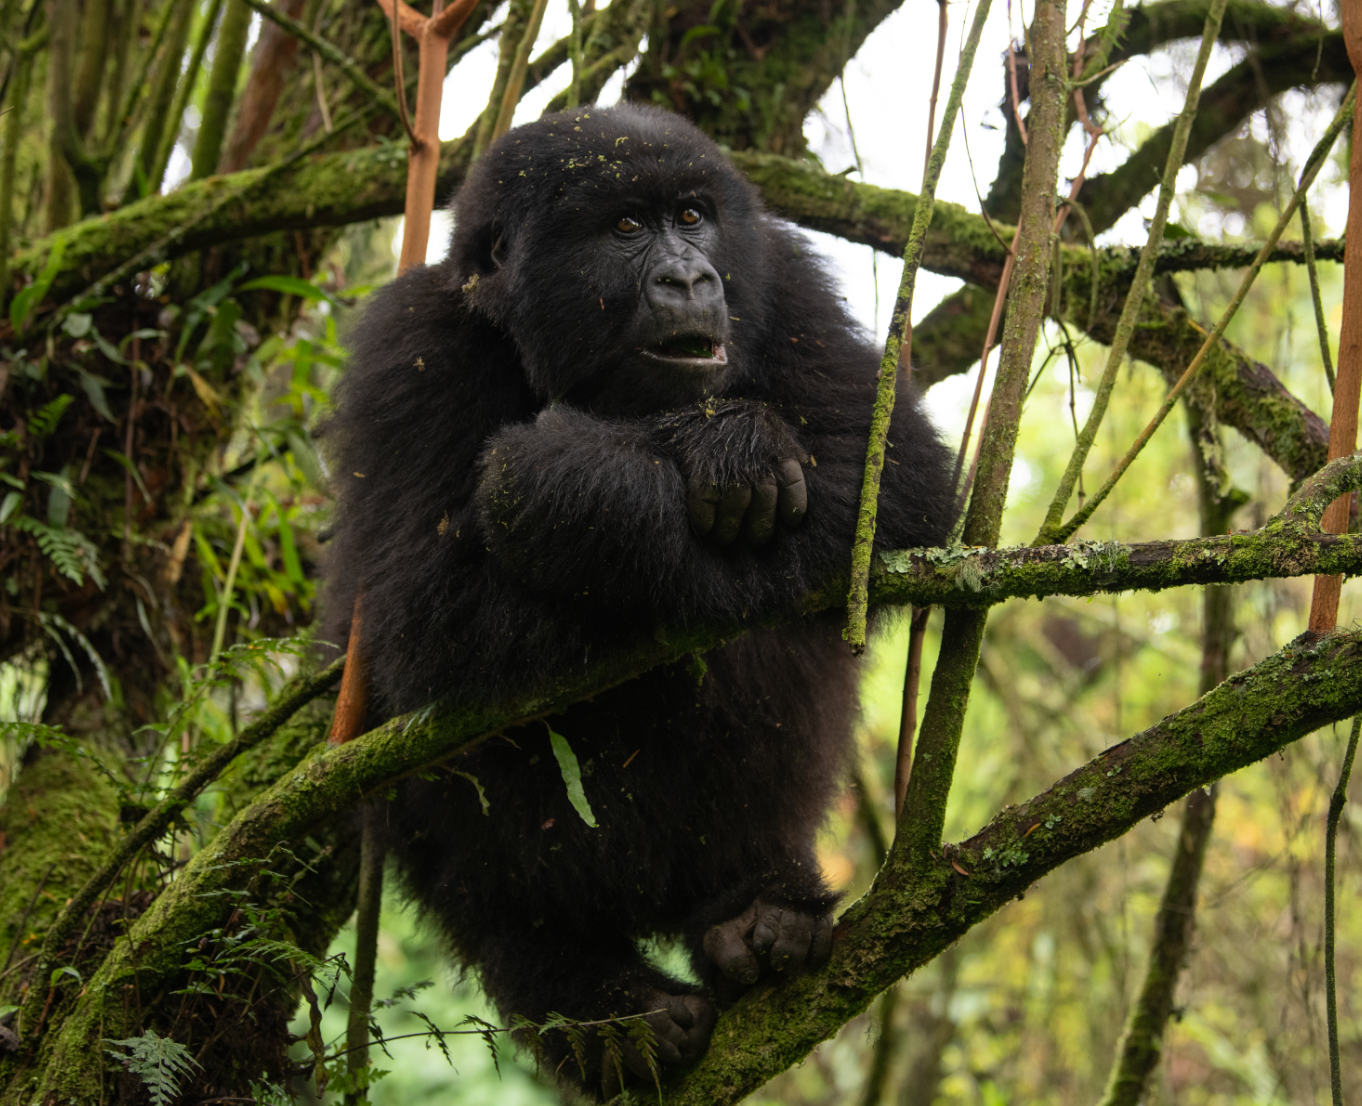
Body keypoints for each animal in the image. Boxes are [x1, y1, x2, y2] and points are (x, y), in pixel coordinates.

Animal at [322, 101, 953, 1089]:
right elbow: (420, 618)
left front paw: (710, 445)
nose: (690, 277)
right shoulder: (409, 351)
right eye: (623, 228)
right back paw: (593, 998)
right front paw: (608, 473)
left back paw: (753, 905)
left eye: (692, 217)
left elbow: (892, 476)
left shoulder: (783, 282)